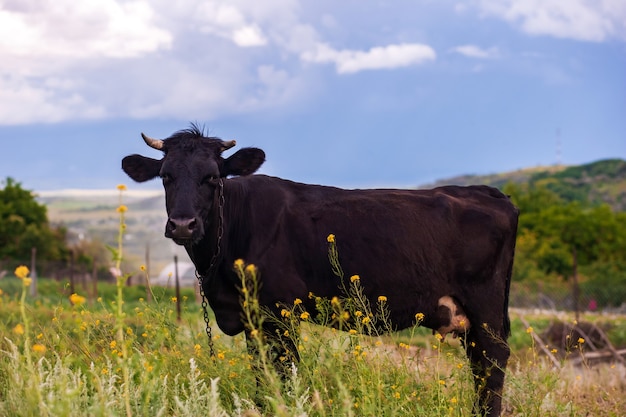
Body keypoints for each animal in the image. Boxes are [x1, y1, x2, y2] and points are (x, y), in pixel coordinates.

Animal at [122, 125, 516, 414]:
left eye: (213, 177)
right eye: (166, 176)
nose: (183, 225)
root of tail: (485, 191)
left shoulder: (280, 312)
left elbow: (285, 373)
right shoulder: (253, 319)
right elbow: (262, 376)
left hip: (485, 308)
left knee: (492, 362)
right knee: (480, 365)